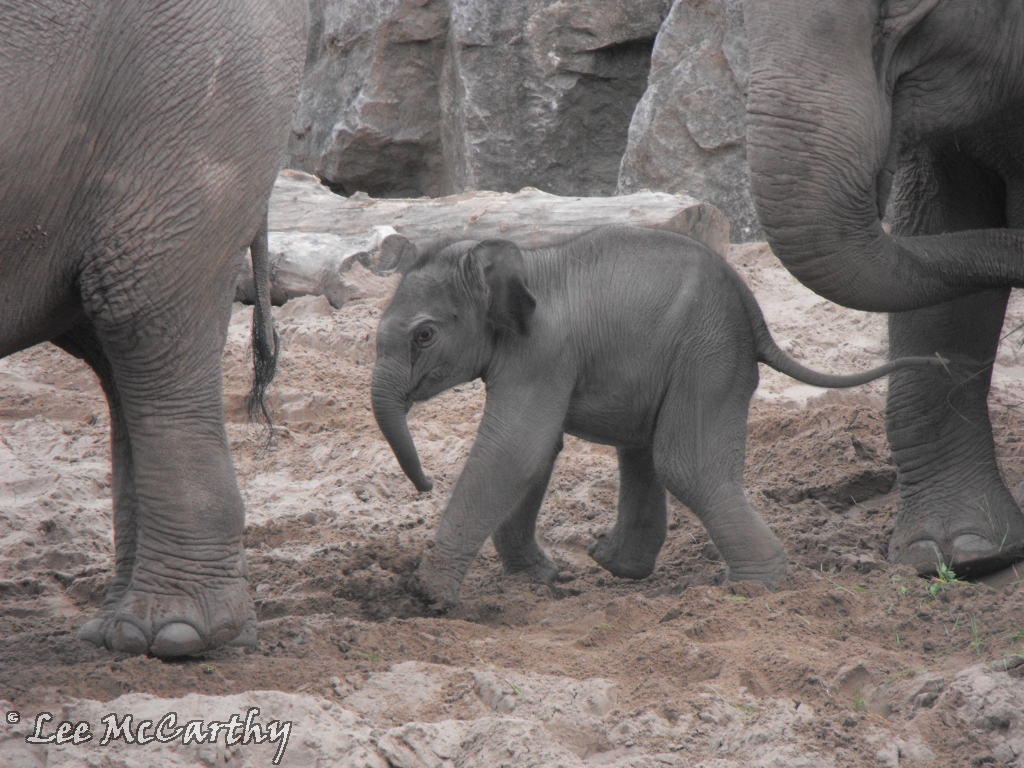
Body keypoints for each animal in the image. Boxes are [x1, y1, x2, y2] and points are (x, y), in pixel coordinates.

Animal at [371, 226, 946, 608]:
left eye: (424, 335)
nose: (424, 485)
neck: (516, 261)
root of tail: (756, 317)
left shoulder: (542, 353)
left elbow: (515, 449)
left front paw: (428, 595)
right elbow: (535, 452)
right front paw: (539, 578)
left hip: (707, 355)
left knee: (683, 462)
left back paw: (752, 587)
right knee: (644, 450)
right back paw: (612, 562)